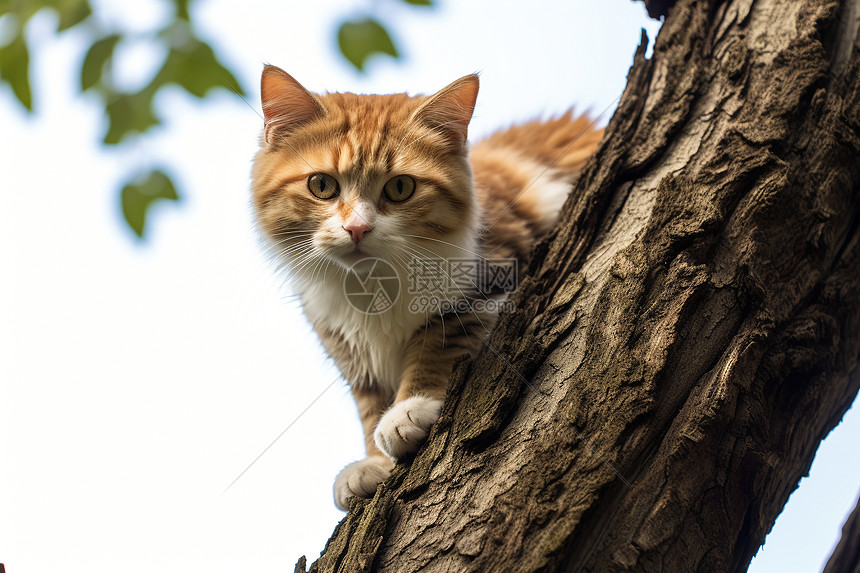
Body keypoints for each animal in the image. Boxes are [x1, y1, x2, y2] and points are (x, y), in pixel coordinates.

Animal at [252, 63, 600, 510]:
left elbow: (436, 343)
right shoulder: (347, 348)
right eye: (322, 185)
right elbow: (369, 405)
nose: (357, 228)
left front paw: (407, 412)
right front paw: (376, 464)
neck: (375, 285)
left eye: (400, 188)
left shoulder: (488, 285)